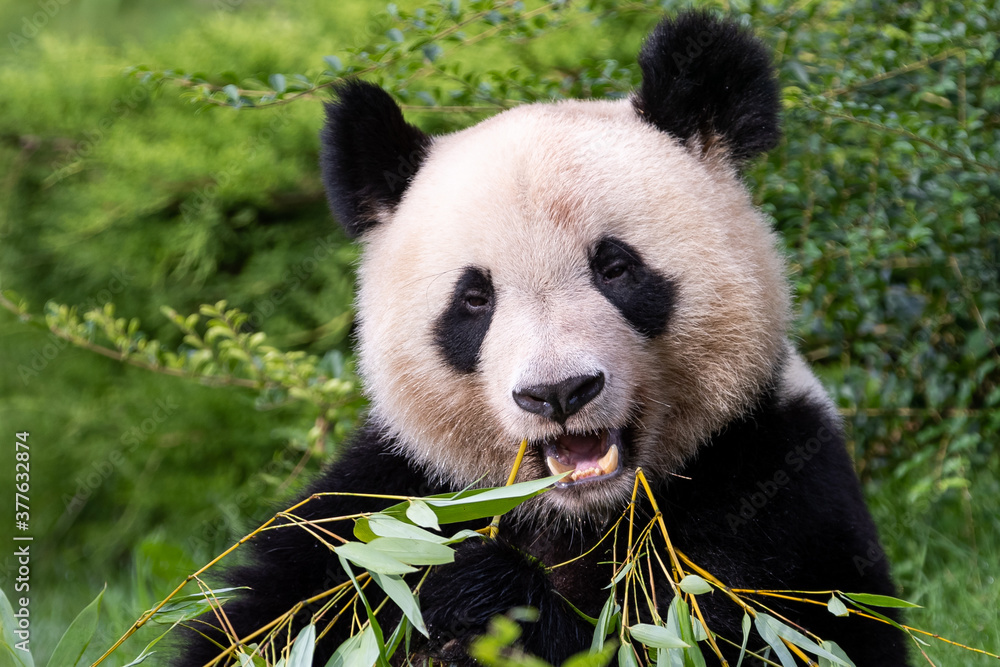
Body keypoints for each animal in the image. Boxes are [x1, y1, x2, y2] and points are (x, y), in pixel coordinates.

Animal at [176, 11, 910, 667]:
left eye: (615, 267)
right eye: (475, 299)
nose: (558, 393)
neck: (578, 515)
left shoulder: (772, 478)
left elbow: (765, 636)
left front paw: (483, 591)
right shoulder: (384, 502)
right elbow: (257, 627)